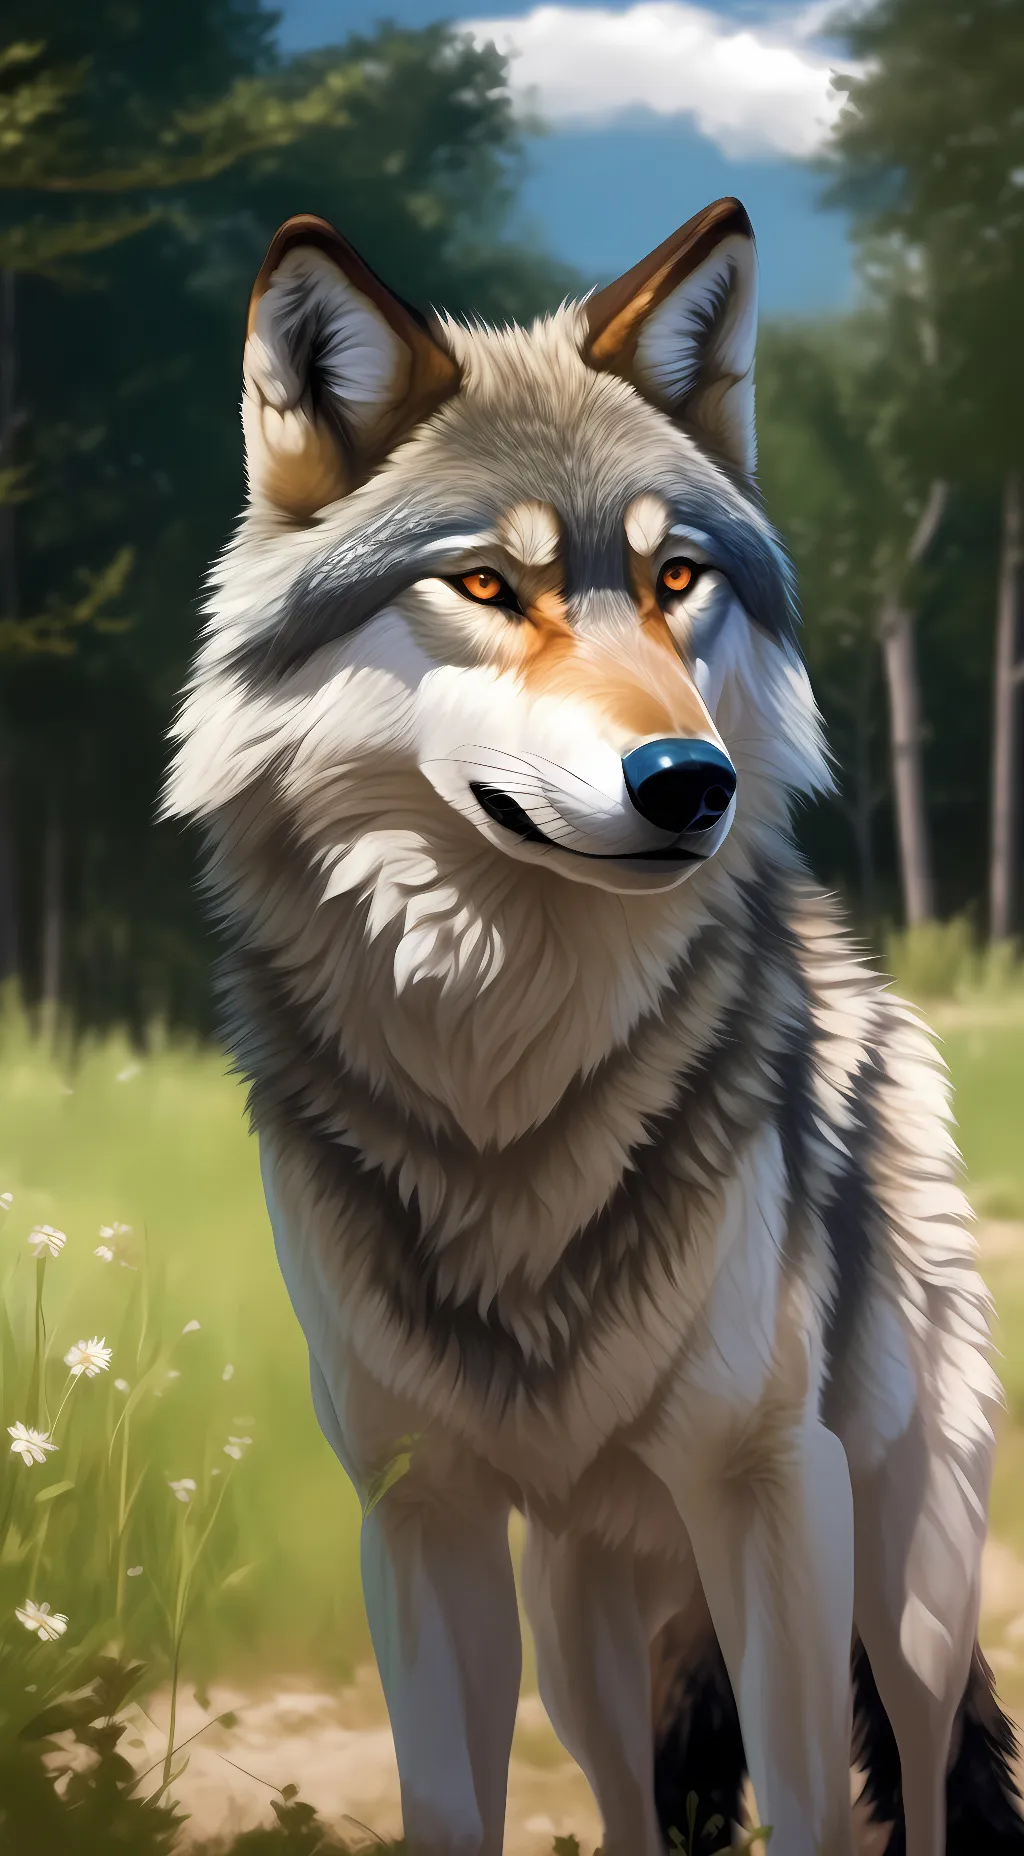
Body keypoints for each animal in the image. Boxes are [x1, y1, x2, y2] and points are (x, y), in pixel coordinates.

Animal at [165, 198, 1024, 1855]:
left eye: (679, 578)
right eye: (489, 589)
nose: (693, 783)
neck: (508, 1066)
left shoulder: (772, 1487)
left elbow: (815, 1808)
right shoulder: (419, 1509)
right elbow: (453, 1805)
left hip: (907, 1579)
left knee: (922, 1770)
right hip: (582, 1612)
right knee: (634, 1801)